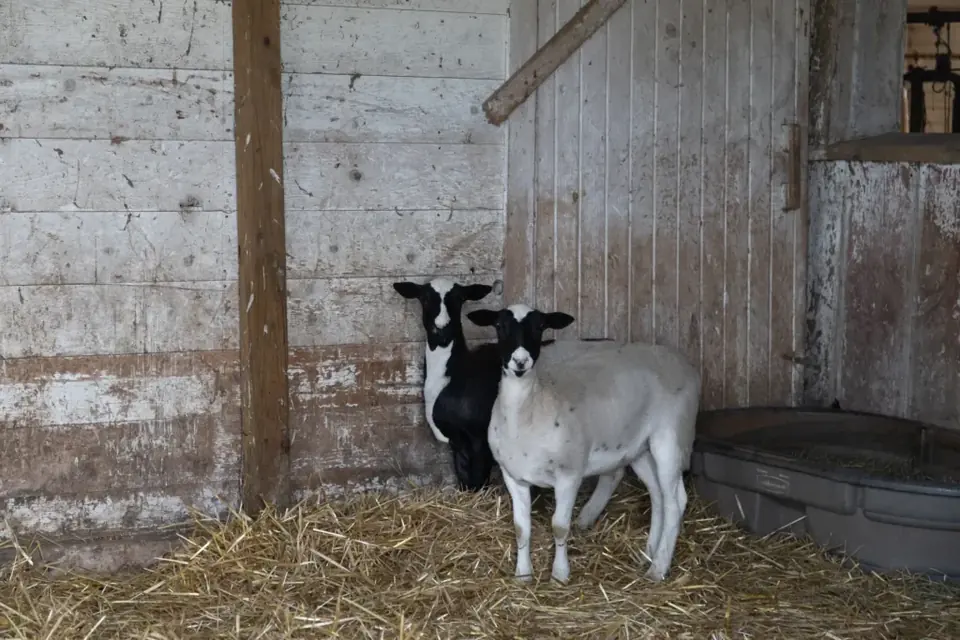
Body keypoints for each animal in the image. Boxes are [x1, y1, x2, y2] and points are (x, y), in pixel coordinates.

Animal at [466, 304, 701, 583]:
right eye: (500, 326)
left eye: (539, 327)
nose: (520, 362)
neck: (531, 409)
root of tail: (683, 362)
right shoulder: (513, 476)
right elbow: (521, 528)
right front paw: (523, 575)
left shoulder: (569, 475)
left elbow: (559, 527)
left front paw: (559, 575)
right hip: (640, 449)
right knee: (658, 495)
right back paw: (648, 554)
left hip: (670, 438)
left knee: (675, 501)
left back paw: (658, 568)